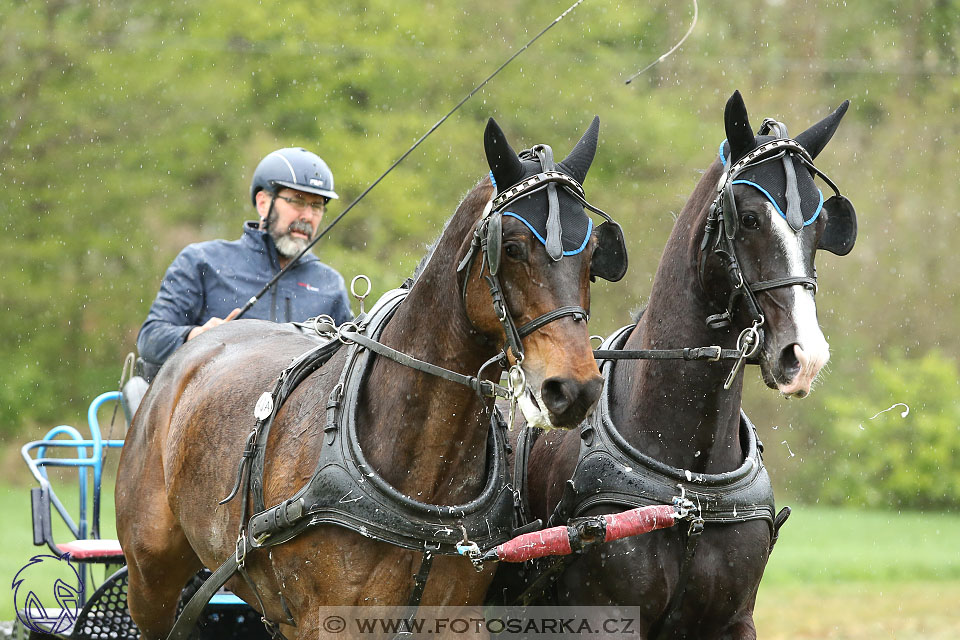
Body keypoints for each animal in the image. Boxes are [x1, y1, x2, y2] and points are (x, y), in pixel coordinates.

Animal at [116, 117, 628, 640]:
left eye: (593, 255)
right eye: (511, 248)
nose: (575, 388)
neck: (425, 477)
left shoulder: (457, 615)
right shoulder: (328, 621)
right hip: (150, 580)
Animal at [510, 91, 856, 640]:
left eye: (822, 225)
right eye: (750, 219)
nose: (805, 356)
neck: (688, 485)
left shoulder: (733, 619)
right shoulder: (602, 615)